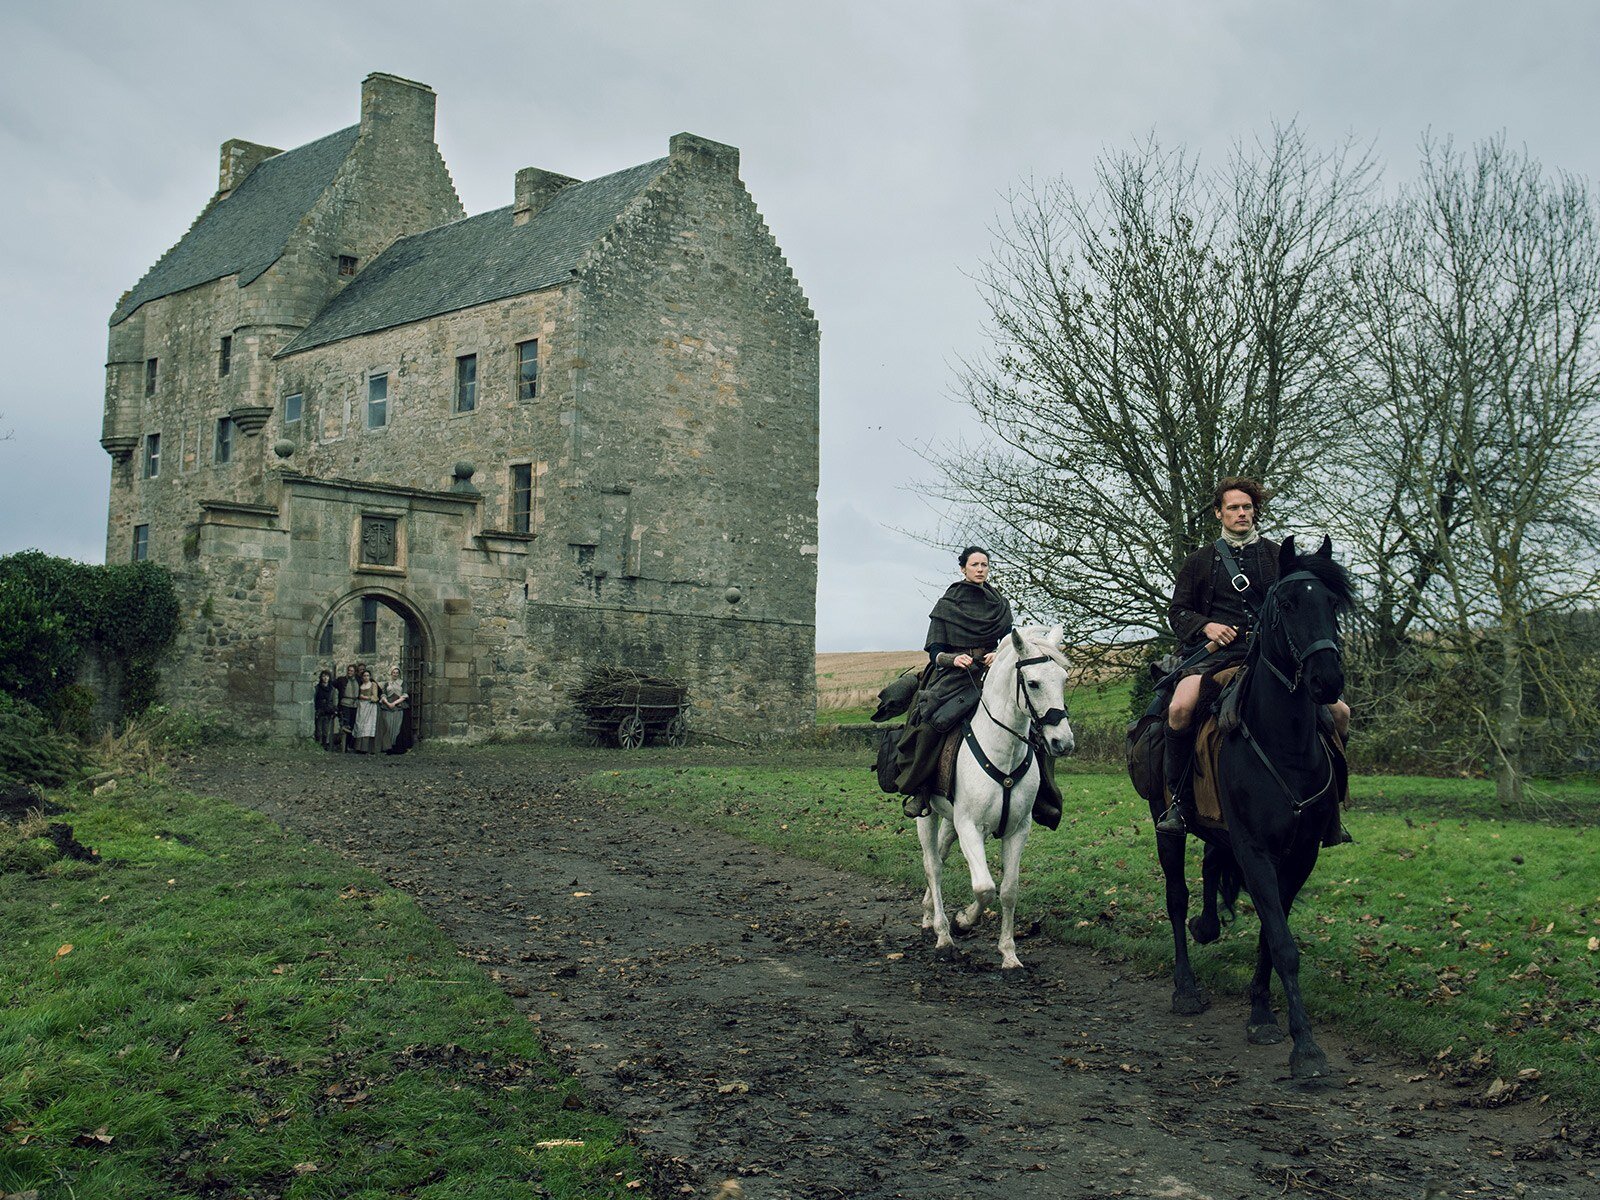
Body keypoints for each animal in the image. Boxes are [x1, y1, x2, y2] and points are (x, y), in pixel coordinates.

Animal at [915, 624, 1075, 972]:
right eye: (1033, 683)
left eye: (1063, 680)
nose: (1063, 743)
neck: (1003, 752)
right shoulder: (970, 828)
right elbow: (984, 887)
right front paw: (962, 921)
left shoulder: (1018, 830)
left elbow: (1008, 891)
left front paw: (1009, 955)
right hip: (927, 815)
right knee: (933, 866)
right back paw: (942, 933)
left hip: (950, 821)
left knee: (941, 856)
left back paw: (928, 914)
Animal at [1139, 534, 1350, 1081]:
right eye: (1288, 604)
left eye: (1333, 604)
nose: (1327, 681)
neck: (1286, 746)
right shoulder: (1255, 851)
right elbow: (1282, 942)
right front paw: (1306, 1049)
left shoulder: (1298, 856)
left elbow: (1271, 939)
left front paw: (1262, 1015)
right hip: (1165, 826)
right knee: (1176, 898)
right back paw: (1186, 988)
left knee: (1212, 864)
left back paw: (1209, 926)